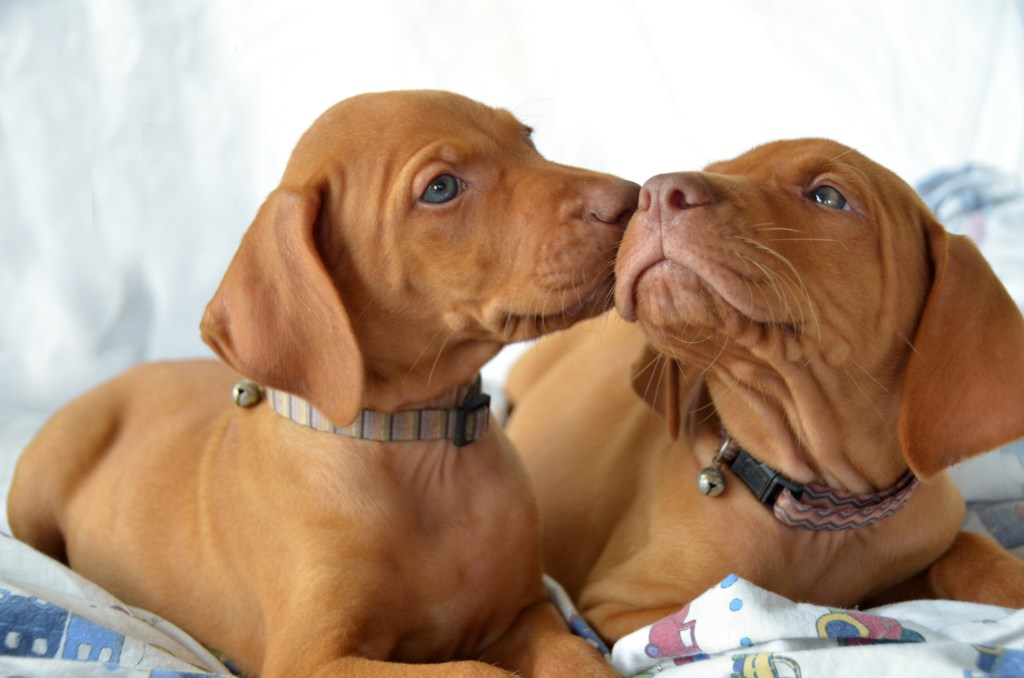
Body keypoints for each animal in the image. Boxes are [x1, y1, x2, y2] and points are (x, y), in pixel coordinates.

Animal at [9, 91, 638, 678]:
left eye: (527, 139)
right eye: (441, 188)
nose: (632, 199)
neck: (418, 446)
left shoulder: (523, 611)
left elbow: (574, 653)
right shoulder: (311, 659)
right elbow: (473, 670)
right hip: (37, 488)